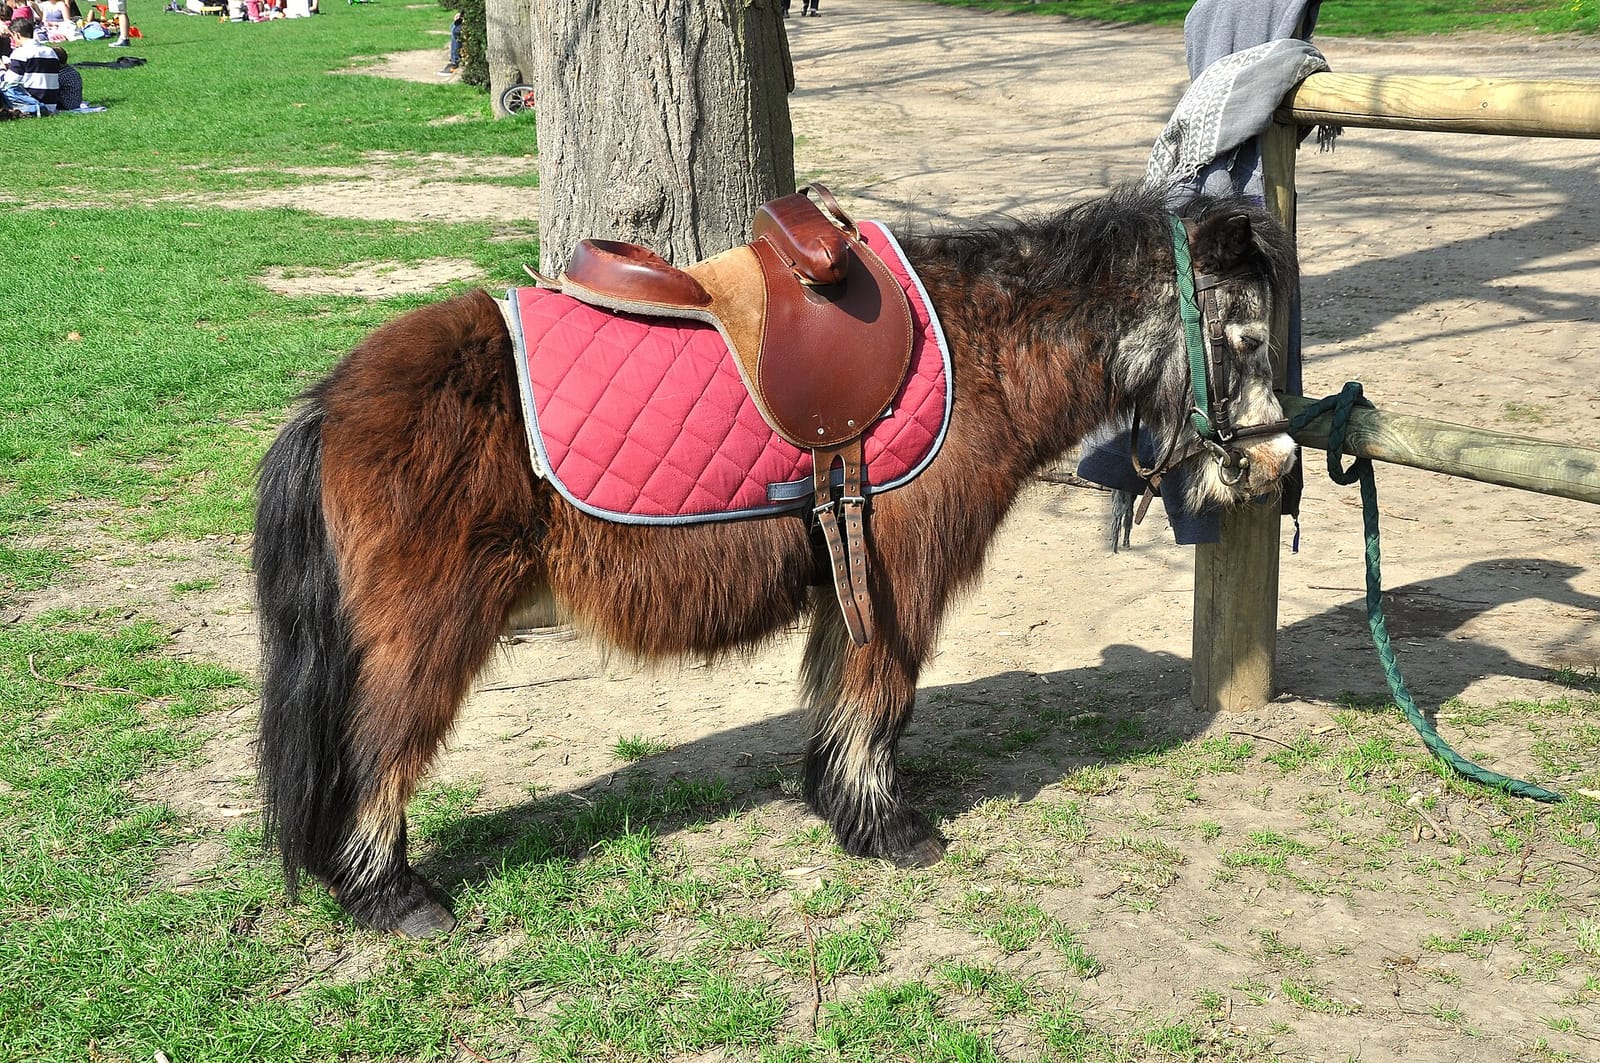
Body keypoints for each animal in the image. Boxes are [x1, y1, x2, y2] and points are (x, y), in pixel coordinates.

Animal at [254, 184, 1300, 936]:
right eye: (1247, 336)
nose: (1279, 463)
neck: (981, 348)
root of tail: (330, 403)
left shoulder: (853, 579)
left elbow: (843, 692)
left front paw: (837, 804)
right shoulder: (900, 580)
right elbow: (881, 698)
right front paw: (888, 828)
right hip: (427, 633)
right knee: (377, 749)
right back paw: (393, 896)